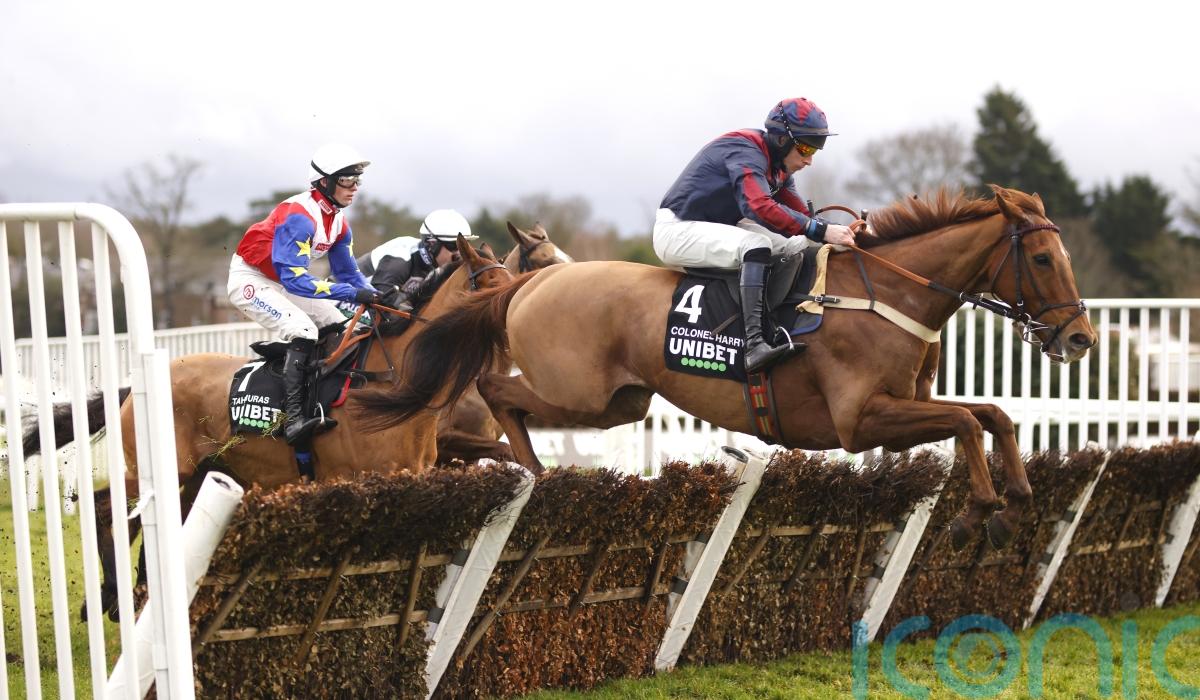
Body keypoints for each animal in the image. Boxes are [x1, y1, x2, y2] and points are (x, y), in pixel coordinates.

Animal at [25, 235, 512, 619]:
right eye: (489, 284)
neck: (390, 386)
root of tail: (133, 388)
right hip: (156, 467)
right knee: (105, 507)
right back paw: (111, 595)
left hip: (200, 475)